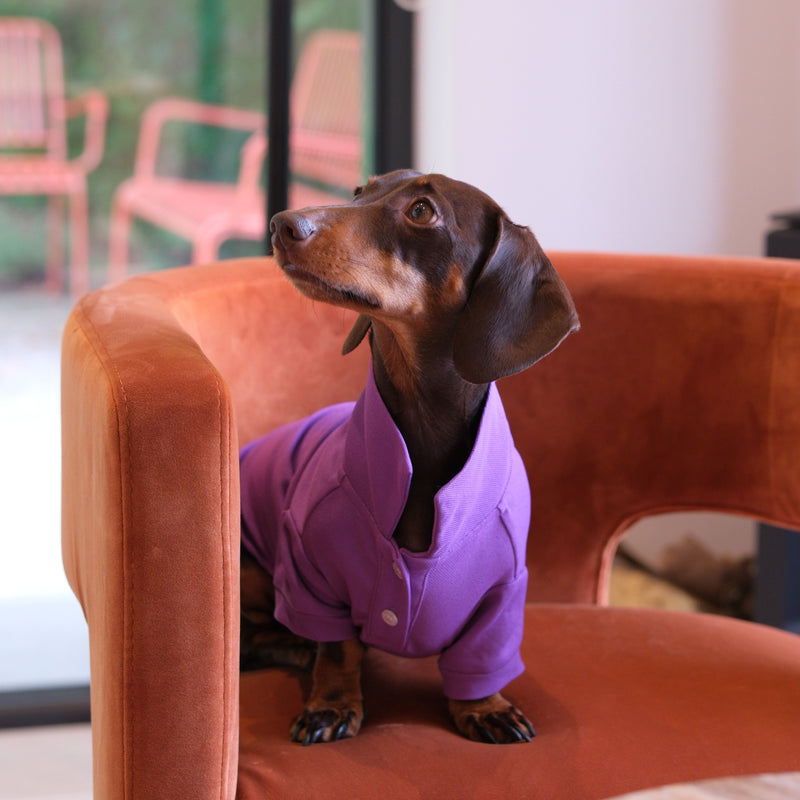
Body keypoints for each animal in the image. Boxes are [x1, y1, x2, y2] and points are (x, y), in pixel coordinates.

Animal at [239, 170, 579, 745]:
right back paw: (299, 648)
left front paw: (485, 707)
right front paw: (331, 704)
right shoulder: (310, 572)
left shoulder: (505, 589)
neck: (422, 434)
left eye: (422, 210)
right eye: (360, 191)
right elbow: (338, 647)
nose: (281, 224)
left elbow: (481, 656)